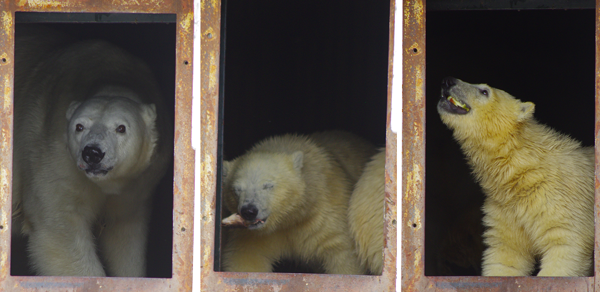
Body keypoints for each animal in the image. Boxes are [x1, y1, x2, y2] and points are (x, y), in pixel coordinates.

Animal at [11, 26, 172, 278]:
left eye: (121, 128)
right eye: (79, 126)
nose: (93, 153)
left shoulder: (139, 185)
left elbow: (125, 235)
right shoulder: (54, 155)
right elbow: (60, 228)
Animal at [218, 132, 372, 274]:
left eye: (268, 185)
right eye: (237, 189)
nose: (249, 211)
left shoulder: (325, 211)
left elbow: (341, 250)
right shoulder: (257, 234)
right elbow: (246, 255)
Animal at [436, 77, 596, 276]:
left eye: (484, 91)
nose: (448, 81)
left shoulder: (559, 198)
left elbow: (564, 244)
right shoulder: (505, 206)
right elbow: (507, 254)